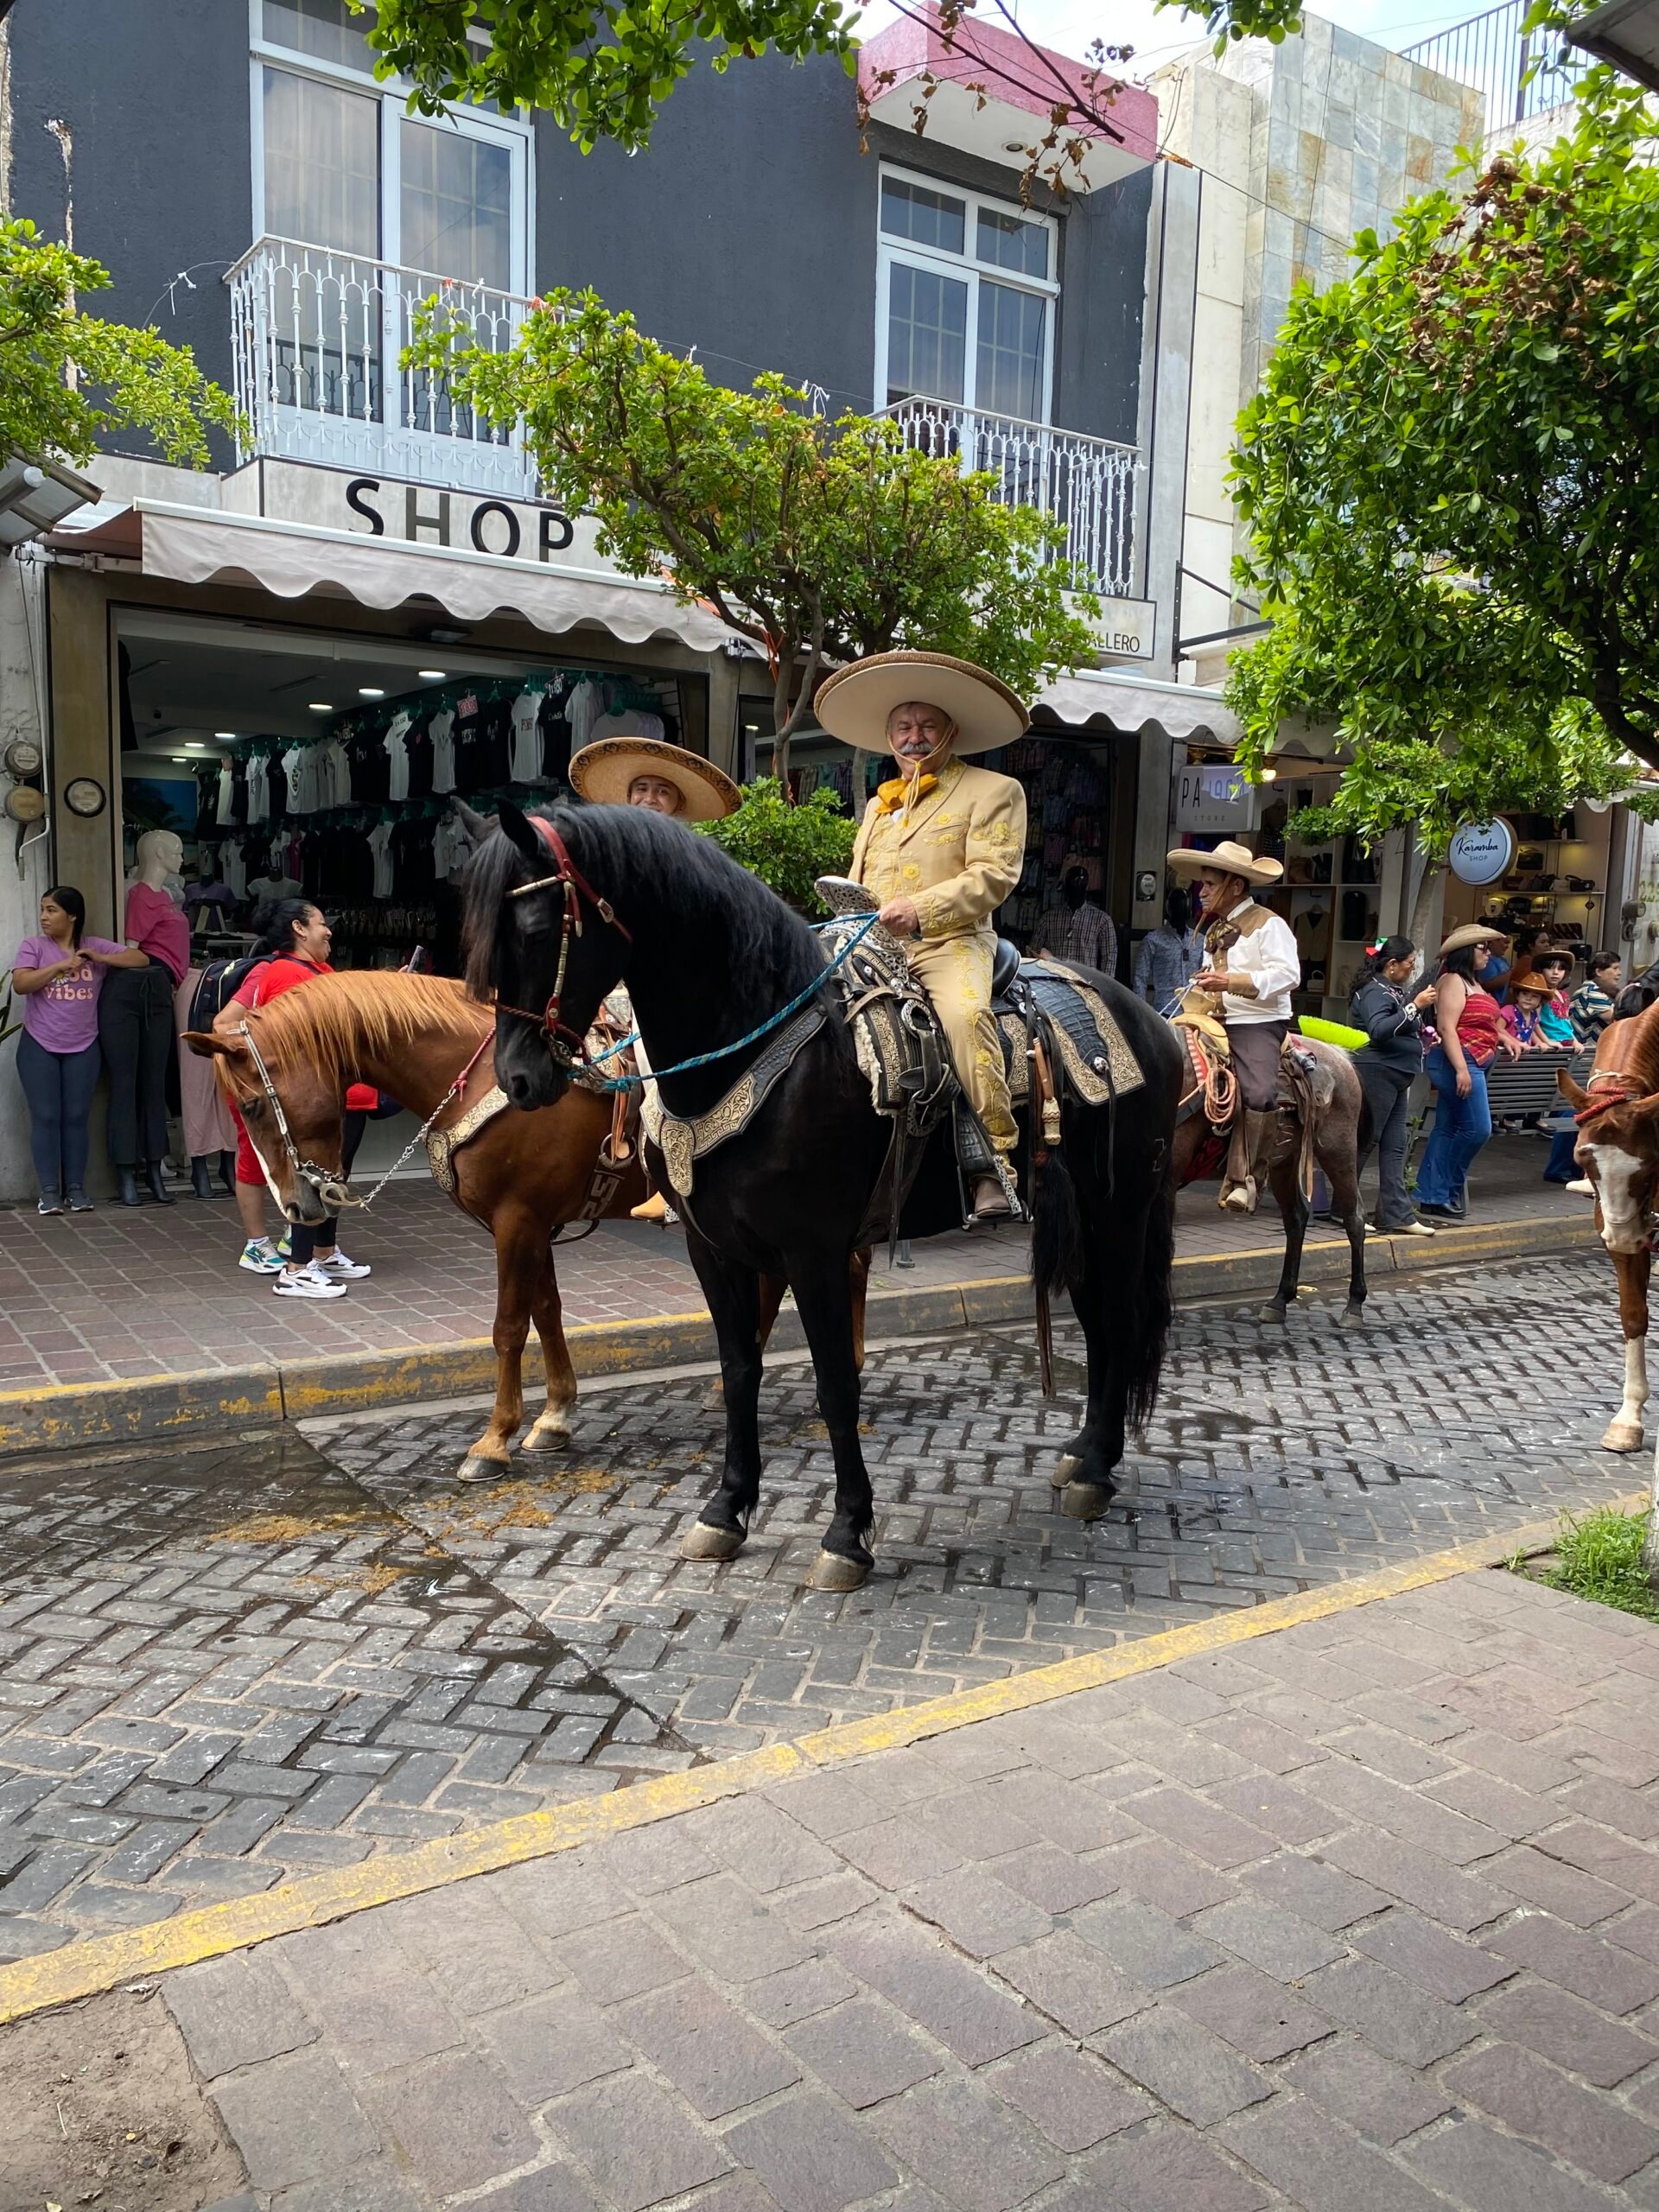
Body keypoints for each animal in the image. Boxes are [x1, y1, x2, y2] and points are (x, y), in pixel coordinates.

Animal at [188, 973, 858, 1478]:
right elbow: (547, 1311)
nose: (298, 1208)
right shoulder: (532, 1224)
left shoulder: (517, 1222)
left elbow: (509, 1327)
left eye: (252, 1104)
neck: (480, 1077)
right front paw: (554, 1417)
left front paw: (494, 1440)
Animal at [468, 796, 1185, 1592]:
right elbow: (739, 1371)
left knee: (1118, 1319)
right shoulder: (712, 1250)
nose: (519, 1079)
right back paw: (1087, 1452)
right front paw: (725, 1511)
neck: (755, 1047)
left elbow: (837, 1384)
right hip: (1089, 1215)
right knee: (1096, 1321)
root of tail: (1150, 1019)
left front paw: (847, 1533)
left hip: (1122, 1208)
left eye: (538, 930)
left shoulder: (813, 1254)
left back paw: (1095, 1473)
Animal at [1176, 1026, 1371, 1318]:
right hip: (1283, 1161)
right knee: (1296, 1218)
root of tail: (1340, 1055)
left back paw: (1354, 1305)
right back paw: (1280, 1300)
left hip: (1339, 1151)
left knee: (1354, 1217)